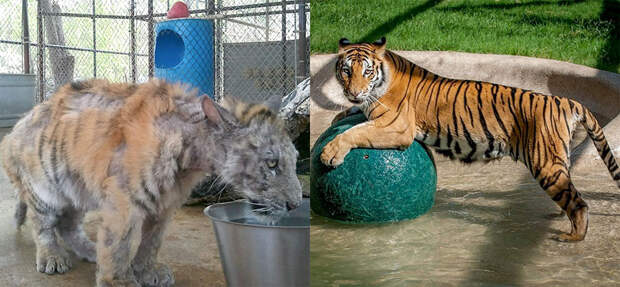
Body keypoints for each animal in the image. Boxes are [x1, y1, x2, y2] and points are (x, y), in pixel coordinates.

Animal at [0, 79, 300, 287]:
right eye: (272, 163)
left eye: (295, 159)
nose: (295, 204)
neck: (190, 156)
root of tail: (14, 130)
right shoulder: (123, 201)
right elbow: (119, 244)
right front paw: (118, 281)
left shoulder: (164, 205)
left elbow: (151, 241)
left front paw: (147, 272)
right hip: (45, 188)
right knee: (43, 224)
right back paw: (52, 258)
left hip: (77, 188)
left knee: (68, 225)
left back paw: (90, 250)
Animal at [322, 36, 620, 243]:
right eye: (346, 71)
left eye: (367, 71)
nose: (353, 92)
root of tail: (562, 99)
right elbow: (350, 115)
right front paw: (339, 117)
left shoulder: (397, 128)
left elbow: (356, 131)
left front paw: (329, 153)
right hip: (557, 161)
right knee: (570, 194)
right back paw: (558, 217)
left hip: (545, 165)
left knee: (579, 203)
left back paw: (573, 237)